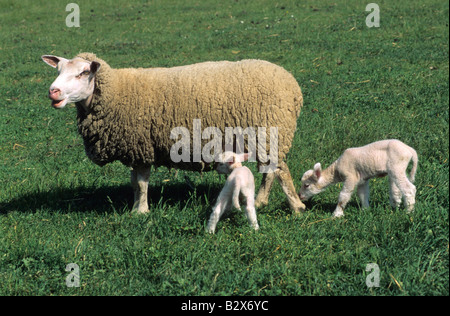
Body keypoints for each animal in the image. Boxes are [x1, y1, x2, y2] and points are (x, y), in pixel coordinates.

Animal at [41, 52, 306, 215]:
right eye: (59, 70)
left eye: (83, 73)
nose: (53, 91)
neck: (116, 92)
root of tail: (291, 84)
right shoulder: (137, 149)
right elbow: (135, 183)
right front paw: (136, 208)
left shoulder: (142, 147)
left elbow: (141, 183)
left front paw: (141, 211)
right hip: (266, 138)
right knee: (269, 171)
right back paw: (261, 201)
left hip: (270, 132)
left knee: (281, 171)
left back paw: (296, 206)